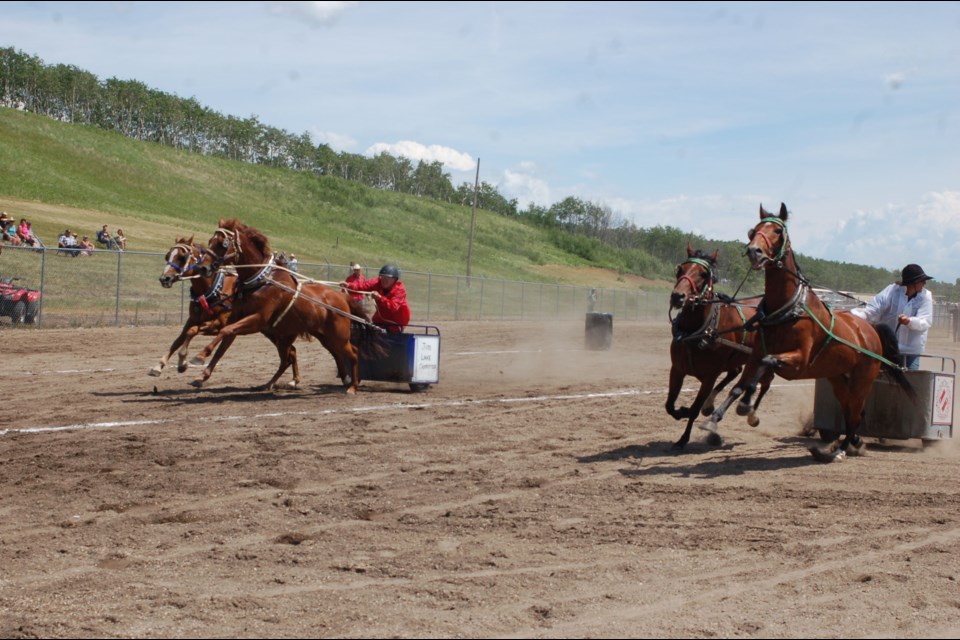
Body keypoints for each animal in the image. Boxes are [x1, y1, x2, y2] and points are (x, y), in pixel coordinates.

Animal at [152, 240, 300, 390]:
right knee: (291, 352)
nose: (165, 278)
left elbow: (194, 333)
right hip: (273, 333)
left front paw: (184, 362)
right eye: (167, 256)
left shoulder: (220, 324)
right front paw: (159, 366)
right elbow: (179, 339)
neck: (214, 289)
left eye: (182, 257)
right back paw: (292, 380)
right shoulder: (192, 319)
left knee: (288, 356)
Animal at [193, 218, 366, 392]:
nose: (202, 268)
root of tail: (341, 296)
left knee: (353, 353)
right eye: (210, 241)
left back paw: (353, 386)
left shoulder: (258, 320)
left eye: (222, 243)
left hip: (338, 336)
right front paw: (202, 374)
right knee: (293, 358)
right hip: (316, 337)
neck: (261, 281)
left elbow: (225, 331)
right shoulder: (236, 319)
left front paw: (200, 355)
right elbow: (223, 344)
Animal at [672, 242, 776, 448]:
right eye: (680, 269)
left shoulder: (710, 376)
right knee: (736, 373)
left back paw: (750, 415)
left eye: (704, 274)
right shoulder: (677, 369)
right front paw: (682, 412)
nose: (678, 296)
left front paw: (683, 438)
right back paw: (711, 406)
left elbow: (694, 408)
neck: (696, 331)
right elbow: (669, 405)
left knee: (761, 383)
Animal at [700, 204, 912, 460]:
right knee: (851, 412)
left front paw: (746, 405)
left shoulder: (798, 361)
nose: (754, 251)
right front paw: (713, 419)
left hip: (863, 380)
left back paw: (839, 450)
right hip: (838, 378)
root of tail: (869, 329)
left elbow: (766, 366)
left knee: (854, 414)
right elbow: (738, 386)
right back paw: (849, 444)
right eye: (754, 230)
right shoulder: (755, 355)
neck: (787, 310)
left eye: (778, 231)